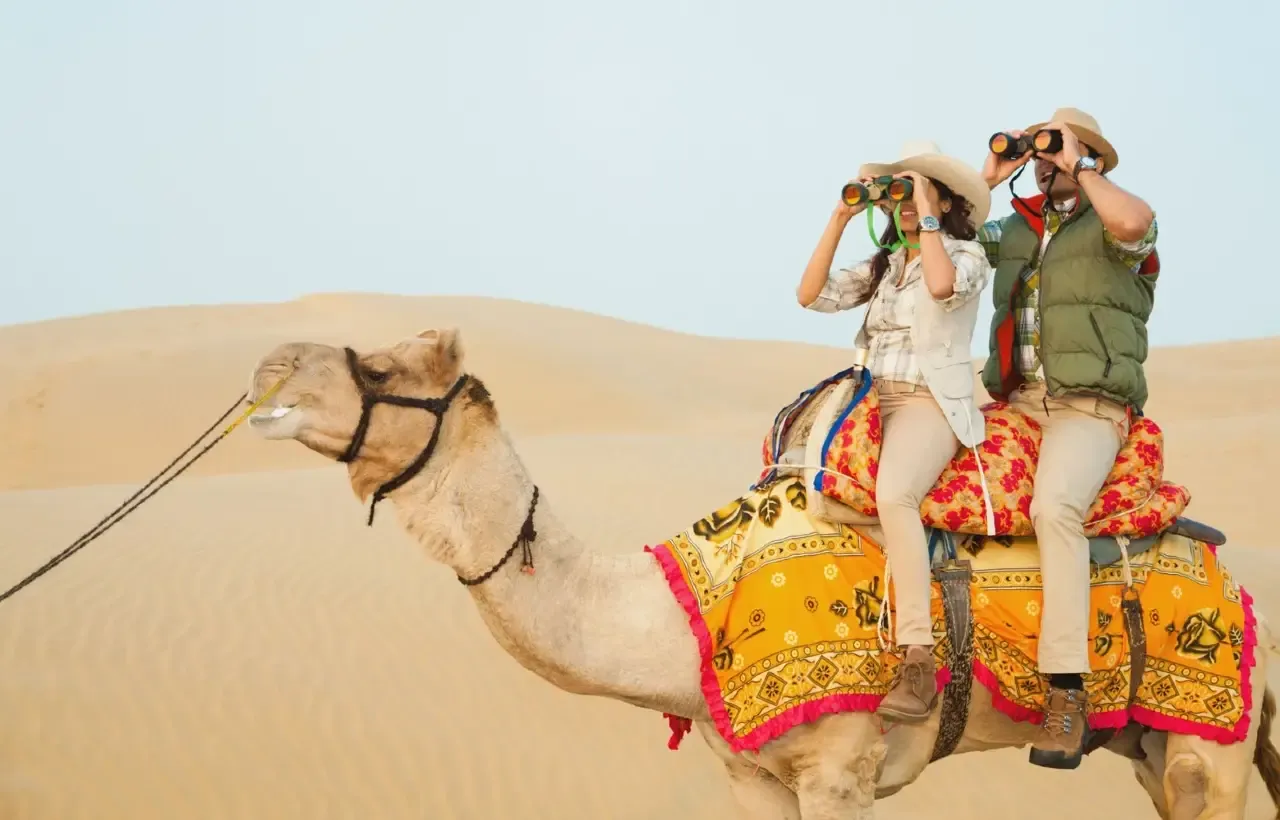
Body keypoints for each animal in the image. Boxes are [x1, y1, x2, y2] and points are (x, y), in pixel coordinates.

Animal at [245, 327, 1280, 820]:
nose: (269, 366)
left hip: (1212, 744)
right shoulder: (750, 775)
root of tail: (1235, 585)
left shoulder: (841, 767)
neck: (680, 618)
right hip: (1147, 746)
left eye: (380, 367)